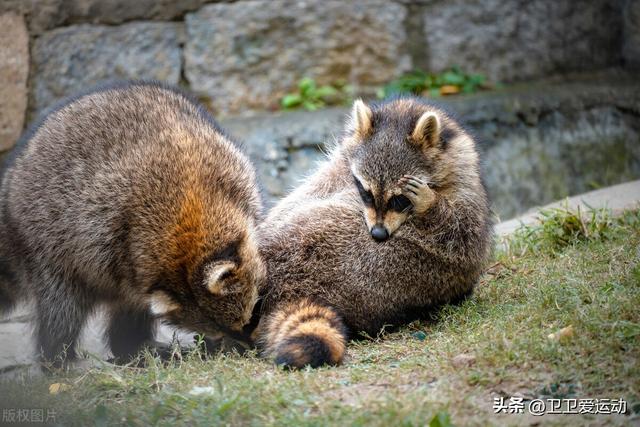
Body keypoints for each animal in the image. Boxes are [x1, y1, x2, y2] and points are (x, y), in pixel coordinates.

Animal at [0, 82, 264, 366]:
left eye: (249, 319)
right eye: (226, 330)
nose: (249, 348)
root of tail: (11, 181)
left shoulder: (238, 178)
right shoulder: (113, 235)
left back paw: (133, 346)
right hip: (43, 237)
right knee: (62, 304)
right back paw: (59, 358)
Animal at [252, 98, 492, 370]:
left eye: (399, 200)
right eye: (366, 192)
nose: (377, 233)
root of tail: (289, 290)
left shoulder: (466, 179)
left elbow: (464, 237)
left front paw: (429, 203)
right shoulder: (340, 165)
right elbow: (309, 192)